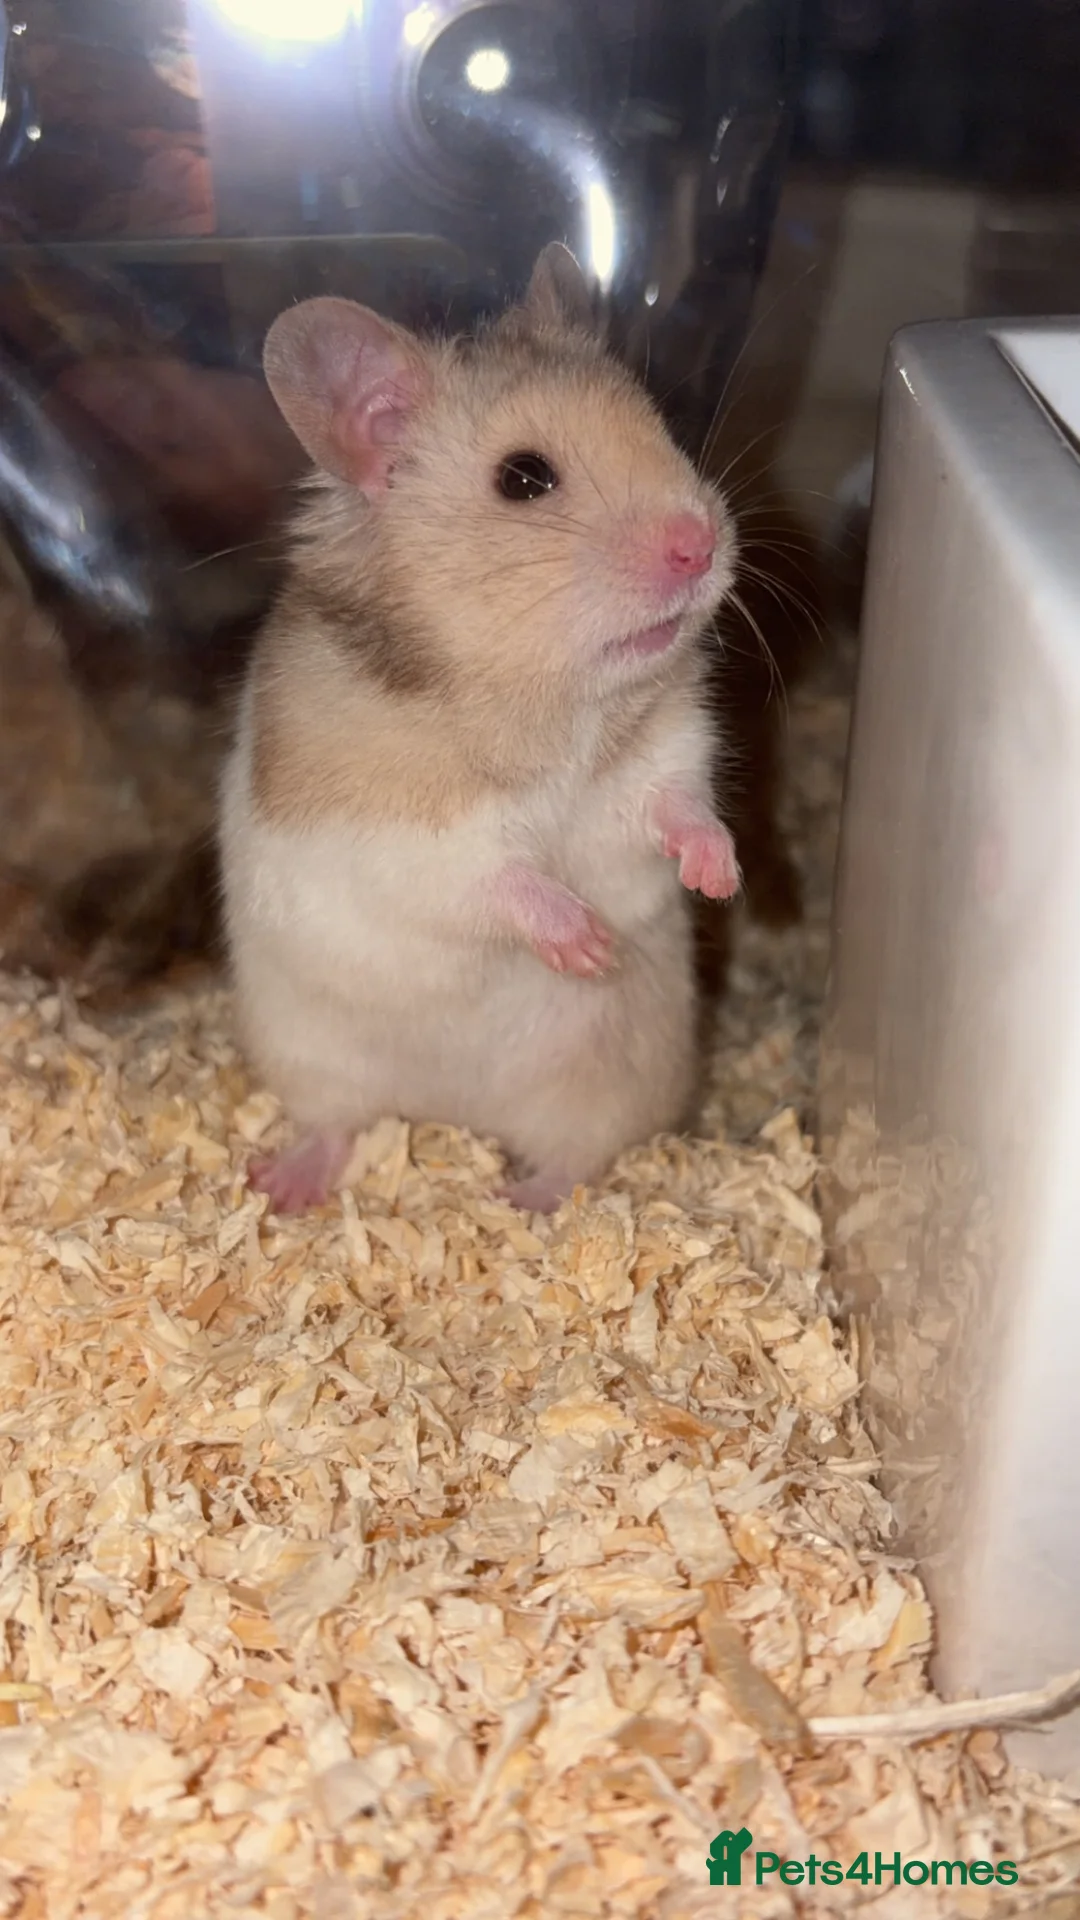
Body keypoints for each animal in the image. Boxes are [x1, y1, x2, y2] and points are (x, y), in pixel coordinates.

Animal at [219, 242, 741, 1215]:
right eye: (524, 477)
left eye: (661, 424)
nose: (701, 544)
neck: (548, 697)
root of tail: (448, 1111)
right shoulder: (399, 833)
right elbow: (493, 878)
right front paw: (585, 943)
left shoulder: (656, 760)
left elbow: (677, 804)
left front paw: (719, 879)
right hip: (308, 1052)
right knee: (334, 1125)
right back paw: (280, 1188)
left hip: (607, 1077)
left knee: (575, 1155)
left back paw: (520, 1204)